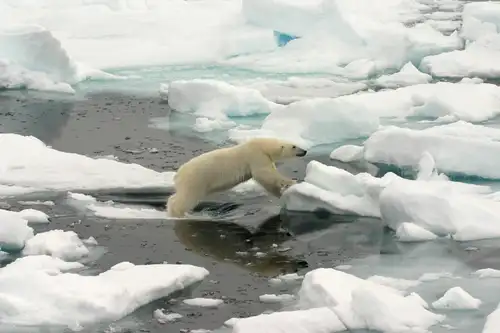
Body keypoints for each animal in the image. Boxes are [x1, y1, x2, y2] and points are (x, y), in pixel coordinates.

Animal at [168, 136, 306, 217]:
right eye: (294, 146)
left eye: (296, 144)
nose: (304, 151)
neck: (263, 145)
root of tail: (178, 175)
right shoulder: (256, 156)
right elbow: (264, 174)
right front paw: (291, 182)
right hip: (196, 180)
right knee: (186, 198)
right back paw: (178, 213)